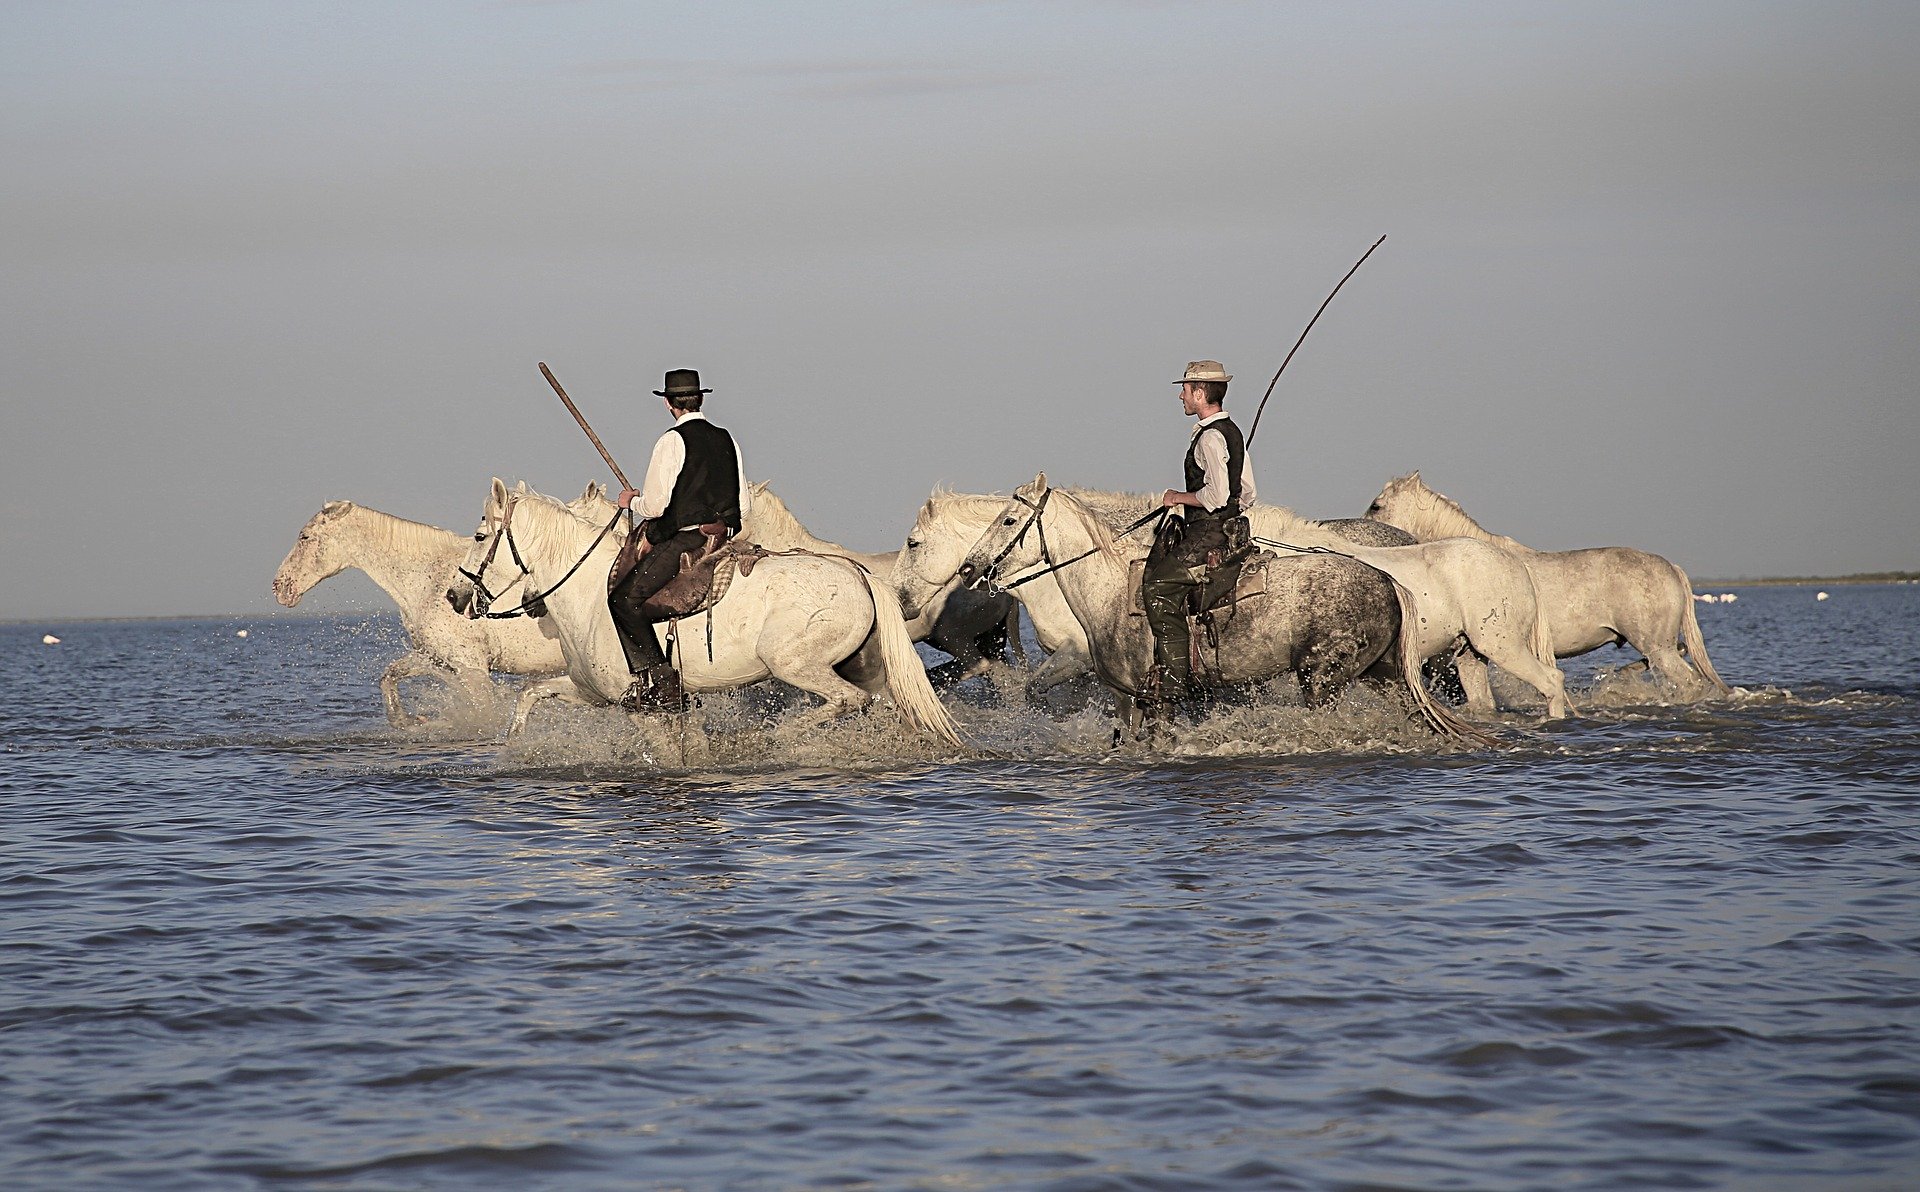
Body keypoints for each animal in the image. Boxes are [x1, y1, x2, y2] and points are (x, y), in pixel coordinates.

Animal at [447, 476, 960, 744]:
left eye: (479, 536)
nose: (454, 596)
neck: (590, 594)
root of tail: (860, 575)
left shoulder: (645, 707)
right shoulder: (593, 692)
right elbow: (530, 694)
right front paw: (514, 747)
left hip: (796, 665)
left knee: (847, 700)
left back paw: (774, 737)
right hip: (867, 667)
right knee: (887, 705)